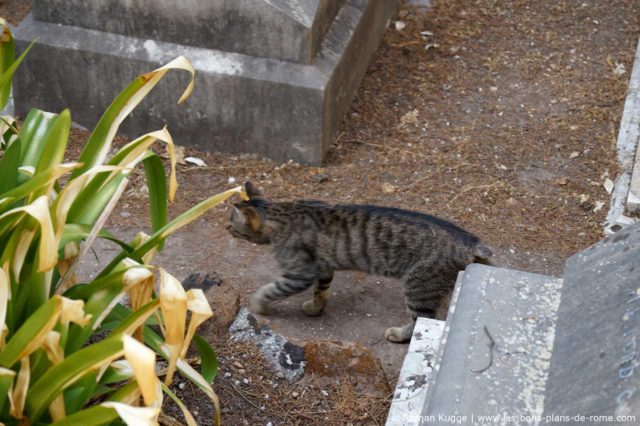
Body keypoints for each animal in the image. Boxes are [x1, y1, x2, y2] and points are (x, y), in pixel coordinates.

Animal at [228, 181, 492, 342]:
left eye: (231, 223)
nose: (226, 228)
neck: (283, 214)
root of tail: (470, 242)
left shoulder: (299, 274)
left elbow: (270, 289)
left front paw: (259, 305)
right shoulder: (323, 268)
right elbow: (321, 292)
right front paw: (315, 308)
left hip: (418, 287)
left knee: (422, 321)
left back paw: (399, 334)